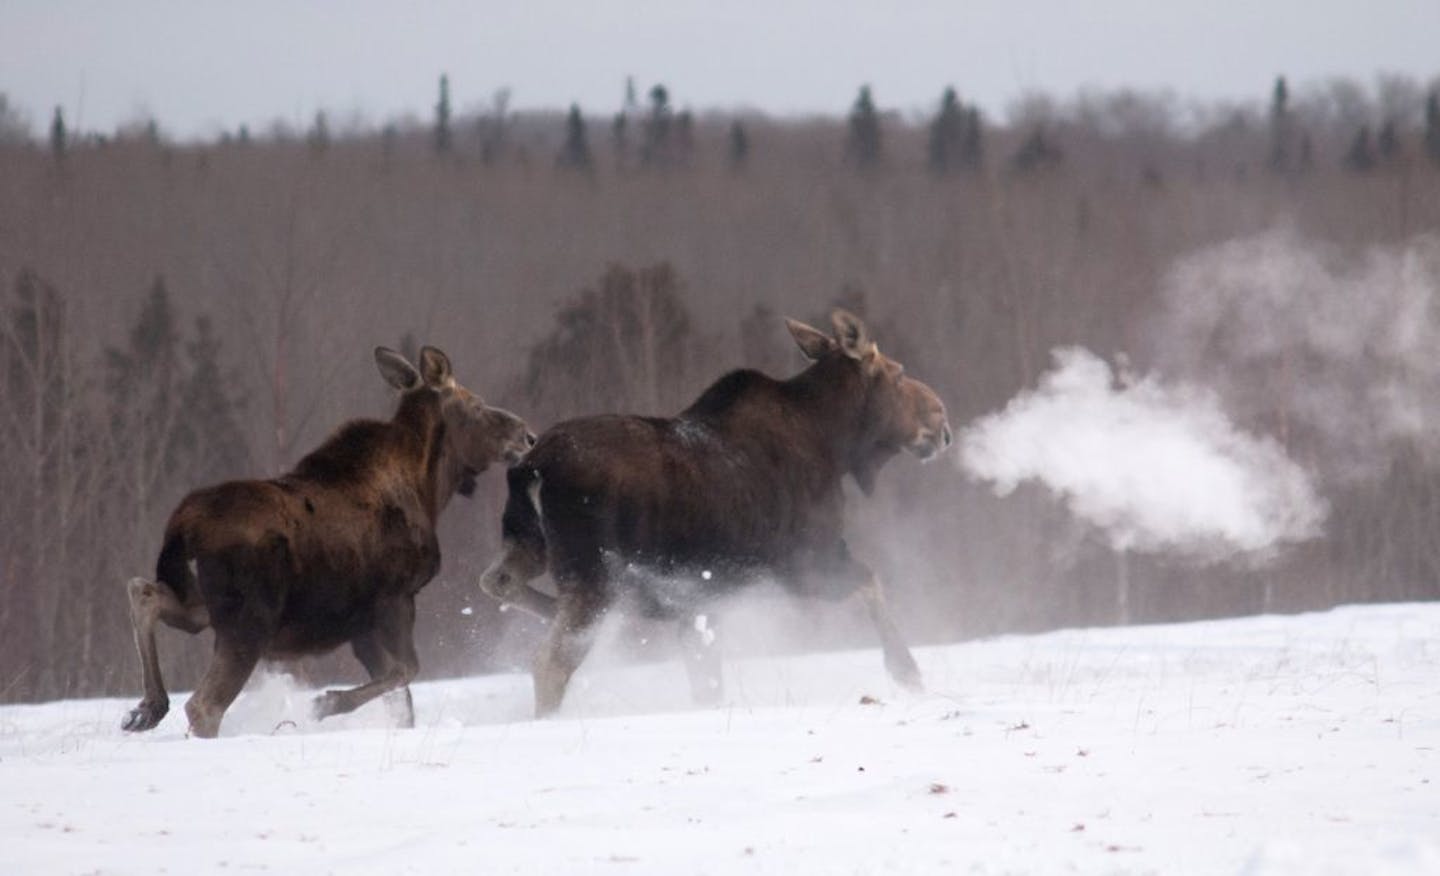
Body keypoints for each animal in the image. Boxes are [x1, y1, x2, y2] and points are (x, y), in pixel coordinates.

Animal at [123, 345, 535, 734]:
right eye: (476, 404)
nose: (527, 436)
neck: (430, 489)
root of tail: (182, 524)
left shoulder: (361, 623)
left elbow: (402, 700)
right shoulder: (395, 598)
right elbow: (407, 671)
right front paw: (326, 703)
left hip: (201, 604)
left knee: (144, 591)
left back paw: (147, 708)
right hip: (249, 620)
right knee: (204, 705)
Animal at [483, 311, 950, 714]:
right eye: (899, 373)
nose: (942, 420)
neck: (835, 444)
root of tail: (532, 468)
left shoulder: (703, 602)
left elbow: (706, 682)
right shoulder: (806, 561)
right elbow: (872, 583)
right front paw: (908, 672)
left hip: (529, 544)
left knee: (498, 582)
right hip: (592, 576)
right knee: (550, 662)